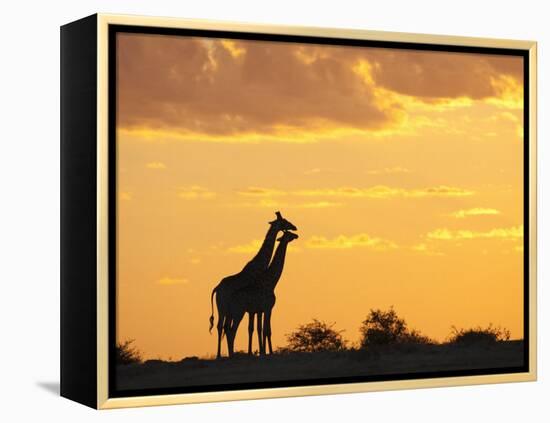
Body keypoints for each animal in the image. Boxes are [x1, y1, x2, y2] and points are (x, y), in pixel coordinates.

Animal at [210, 212, 298, 358]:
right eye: (285, 221)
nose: (295, 228)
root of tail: (217, 288)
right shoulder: (259, 307)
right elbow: (260, 329)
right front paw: (262, 352)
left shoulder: (254, 309)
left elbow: (253, 328)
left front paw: (255, 352)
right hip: (224, 309)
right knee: (222, 327)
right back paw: (222, 355)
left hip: (227, 310)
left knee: (225, 328)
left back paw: (228, 353)